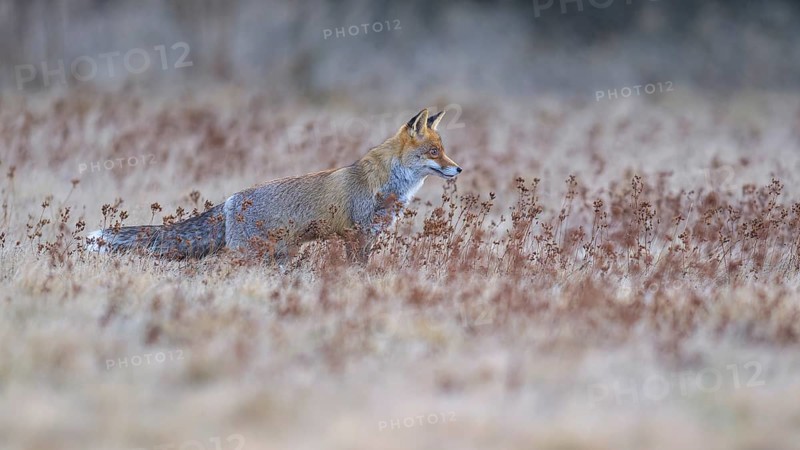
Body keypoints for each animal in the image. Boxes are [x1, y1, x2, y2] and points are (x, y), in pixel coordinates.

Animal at [86, 108, 462, 264]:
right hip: (251, 253)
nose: (458, 168)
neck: (386, 184)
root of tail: (231, 200)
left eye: (443, 149)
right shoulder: (356, 233)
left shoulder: (368, 235)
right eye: (434, 152)